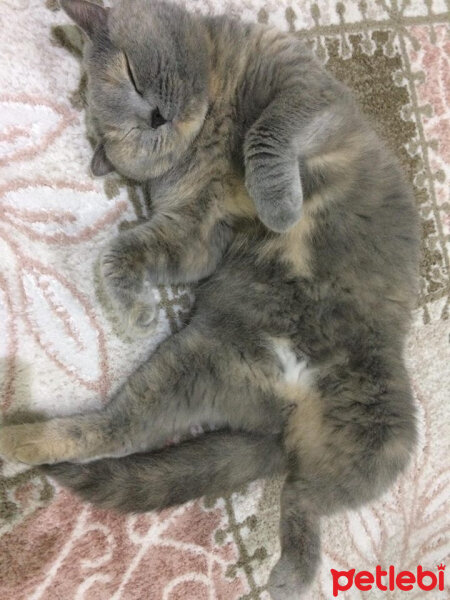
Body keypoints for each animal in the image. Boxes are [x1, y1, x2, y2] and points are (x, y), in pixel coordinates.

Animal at [0, 2, 422, 596]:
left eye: (132, 74)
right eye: (130, 129)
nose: (155, 117)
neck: (215, 116)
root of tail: (282, 419)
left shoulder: (304, 87)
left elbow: (267, 130)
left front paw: (277, 205)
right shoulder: (195, 227)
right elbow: (122, 250)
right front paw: (135, 313)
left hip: (378, 433)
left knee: (304, 494)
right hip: (197, 367)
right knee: (130, 435)